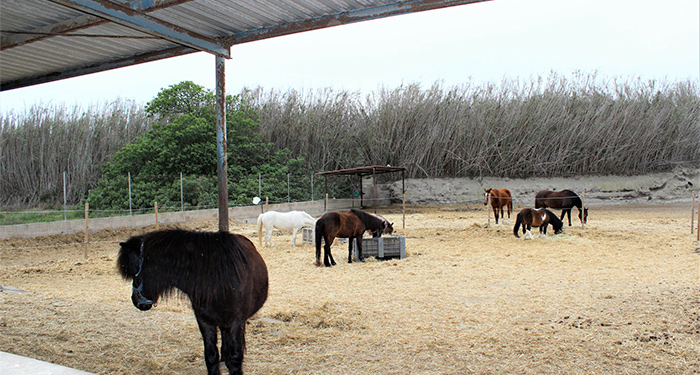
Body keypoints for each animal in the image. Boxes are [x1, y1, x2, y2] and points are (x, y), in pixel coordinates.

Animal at [117, 229, 268, 375]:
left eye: (134, 271)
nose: (135, 300)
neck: (219, 281)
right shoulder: (204, 321)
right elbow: (211, 355)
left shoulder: (236, 322)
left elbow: (236, 356)